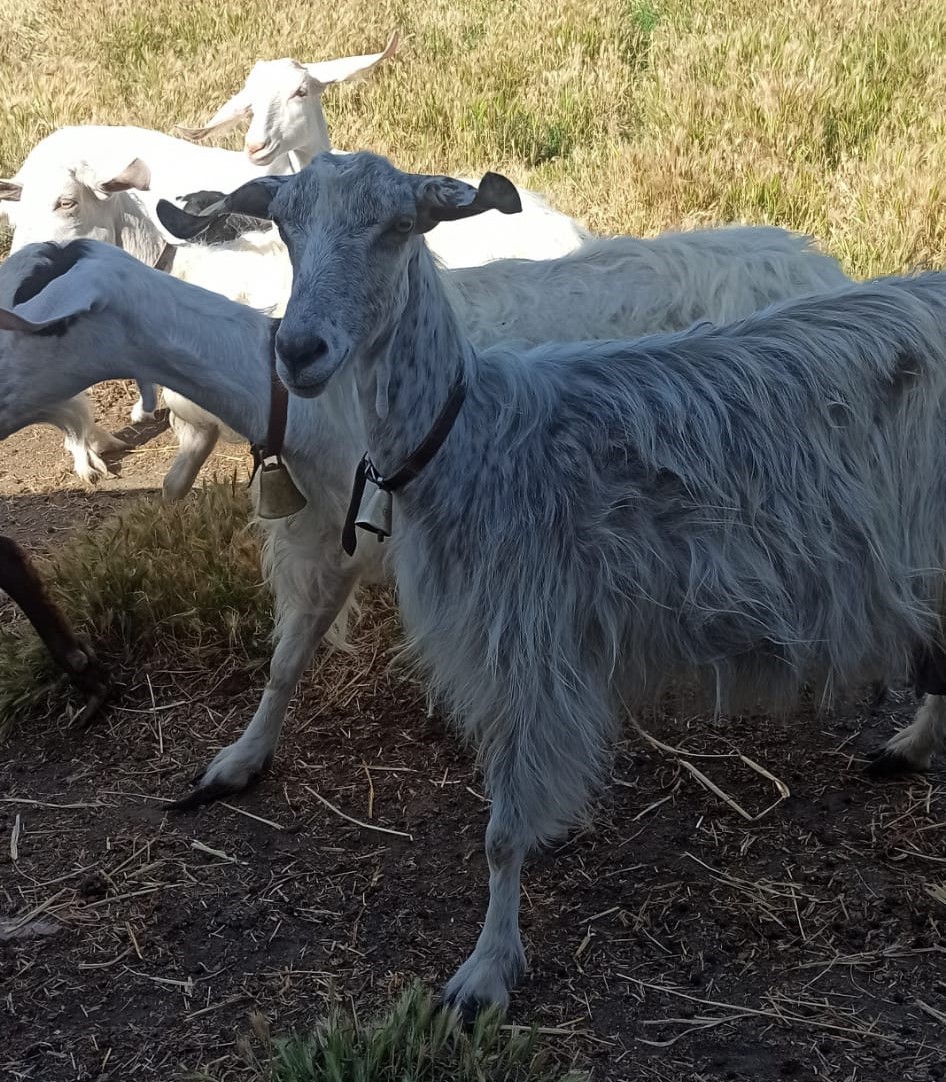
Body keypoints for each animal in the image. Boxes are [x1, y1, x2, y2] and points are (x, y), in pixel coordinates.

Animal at [239, 150, 943, 1012]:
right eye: (284, 224)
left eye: (398, 226)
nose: (299, 350)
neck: (473, 437)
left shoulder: (530, 639)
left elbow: (501, 833)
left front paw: (485, 972)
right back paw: (910, 746)